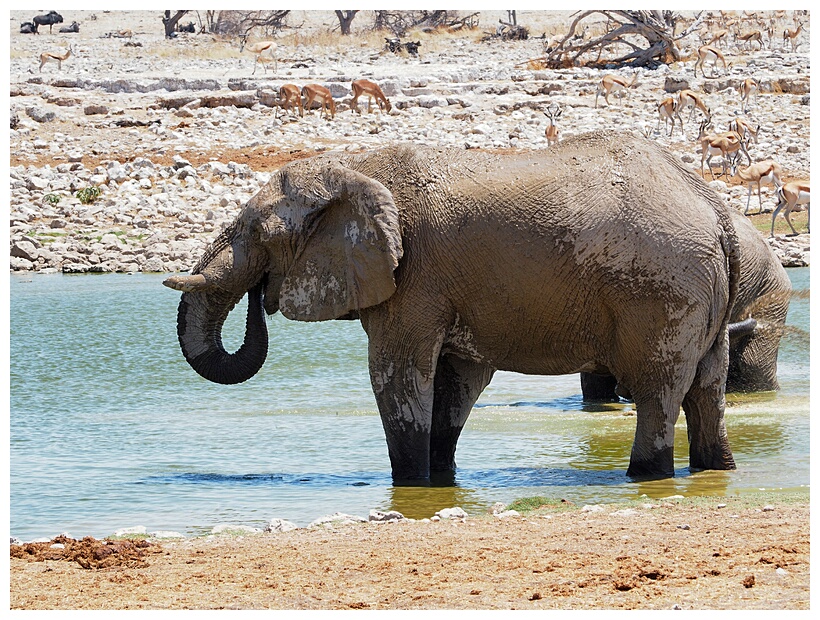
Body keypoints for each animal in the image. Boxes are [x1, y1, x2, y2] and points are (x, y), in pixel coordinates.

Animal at [163, 133, 740, 484]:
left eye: (260, 233)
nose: (262, 297)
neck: (356, 168)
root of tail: (713, 208)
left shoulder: (414, 278)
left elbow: (397, 375)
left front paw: (411, 483)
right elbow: (455, 383)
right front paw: (440, 479)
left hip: (662, 292)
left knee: (658, 390)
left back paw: (646, 475)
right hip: (699, 292)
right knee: (707, 386)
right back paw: (716, 470)